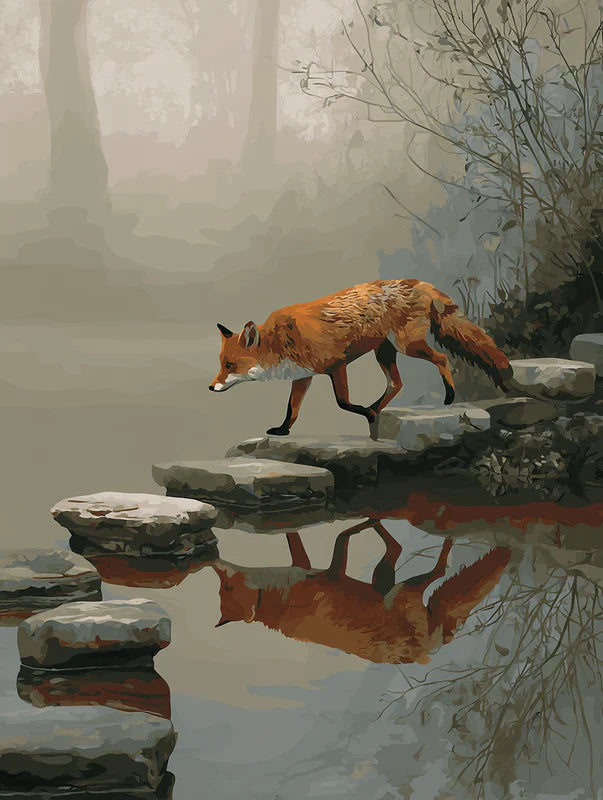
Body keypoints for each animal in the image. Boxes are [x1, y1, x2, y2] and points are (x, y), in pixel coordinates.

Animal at [209, 279, 510, 436]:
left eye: (229, 365)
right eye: (221, 364)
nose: (211, 387)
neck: (280, 341)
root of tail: (415, 282)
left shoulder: (336, 365)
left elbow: (342, 402)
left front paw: (363, 411)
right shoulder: (303, 376)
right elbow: (291, 409)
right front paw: (283, 430)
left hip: (407, 346)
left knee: (442, 359)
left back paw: (448, 395)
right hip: (385, 352)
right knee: (396, 384)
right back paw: (376, 410)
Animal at [212, 520, 512, 665]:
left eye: (225, 585)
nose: (213, 561)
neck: (281, 599)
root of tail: (422, 654)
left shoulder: (313, 568)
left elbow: (319, 536)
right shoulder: (332, 573)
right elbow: (343, 534)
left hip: (386, 582)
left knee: (401, 548)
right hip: (395, 585)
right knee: (425, 562)